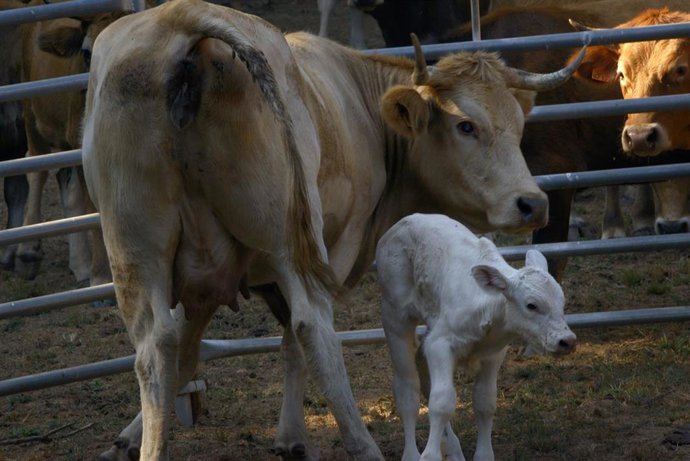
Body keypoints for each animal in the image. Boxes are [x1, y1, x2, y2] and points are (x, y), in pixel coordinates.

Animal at [376, 213, 576, 461]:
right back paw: (413, 454)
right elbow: (442, 402)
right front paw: (430, 455)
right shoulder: (440, 343)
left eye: (562, 302)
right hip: (394, 316)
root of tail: (402, 223)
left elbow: (485, 402)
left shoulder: (493, 354)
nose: (567, 341)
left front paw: (483, 454)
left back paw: (452, 449)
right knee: (407, 391)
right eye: (532, 305)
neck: (490, 307)